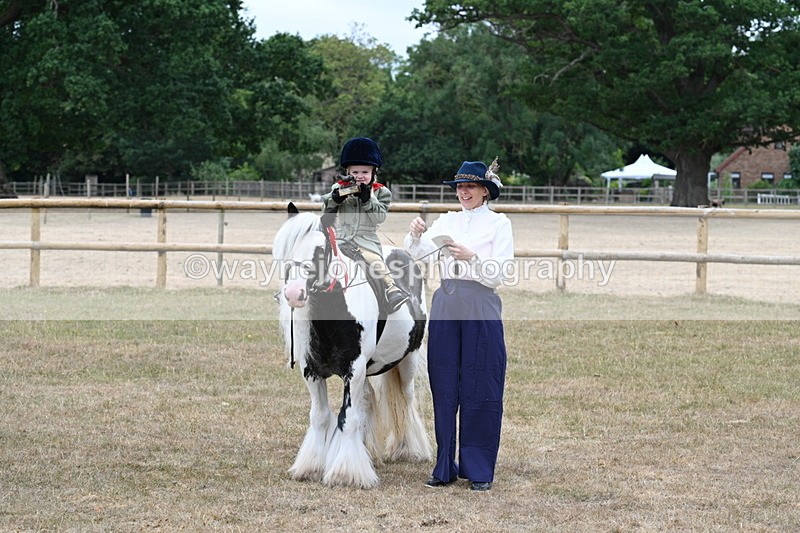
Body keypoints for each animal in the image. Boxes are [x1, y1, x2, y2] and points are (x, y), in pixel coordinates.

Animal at [272, 203, 432, 488]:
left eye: (320, 250)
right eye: (289, 248)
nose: (293, 293)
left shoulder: (354, 370)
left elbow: (347, 418)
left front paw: (346, 473)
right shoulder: (312, 371)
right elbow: (320, 416)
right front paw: (312, 467)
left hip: (407, 362)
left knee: (406, 399)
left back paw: (407, 449)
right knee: (368, 400)